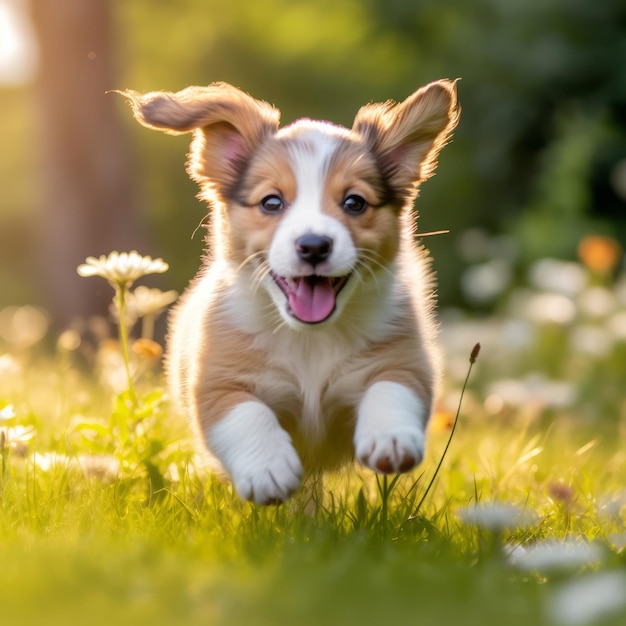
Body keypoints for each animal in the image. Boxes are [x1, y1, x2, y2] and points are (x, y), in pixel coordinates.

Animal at [124, 79, 458, 502]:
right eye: (272, 202)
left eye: (355, 202)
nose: (314, 246)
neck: (309, 340)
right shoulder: (218, 383)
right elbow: (246, 414)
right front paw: (266, 467)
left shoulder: (403, 360)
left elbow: (392, 387)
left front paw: (392, 437)